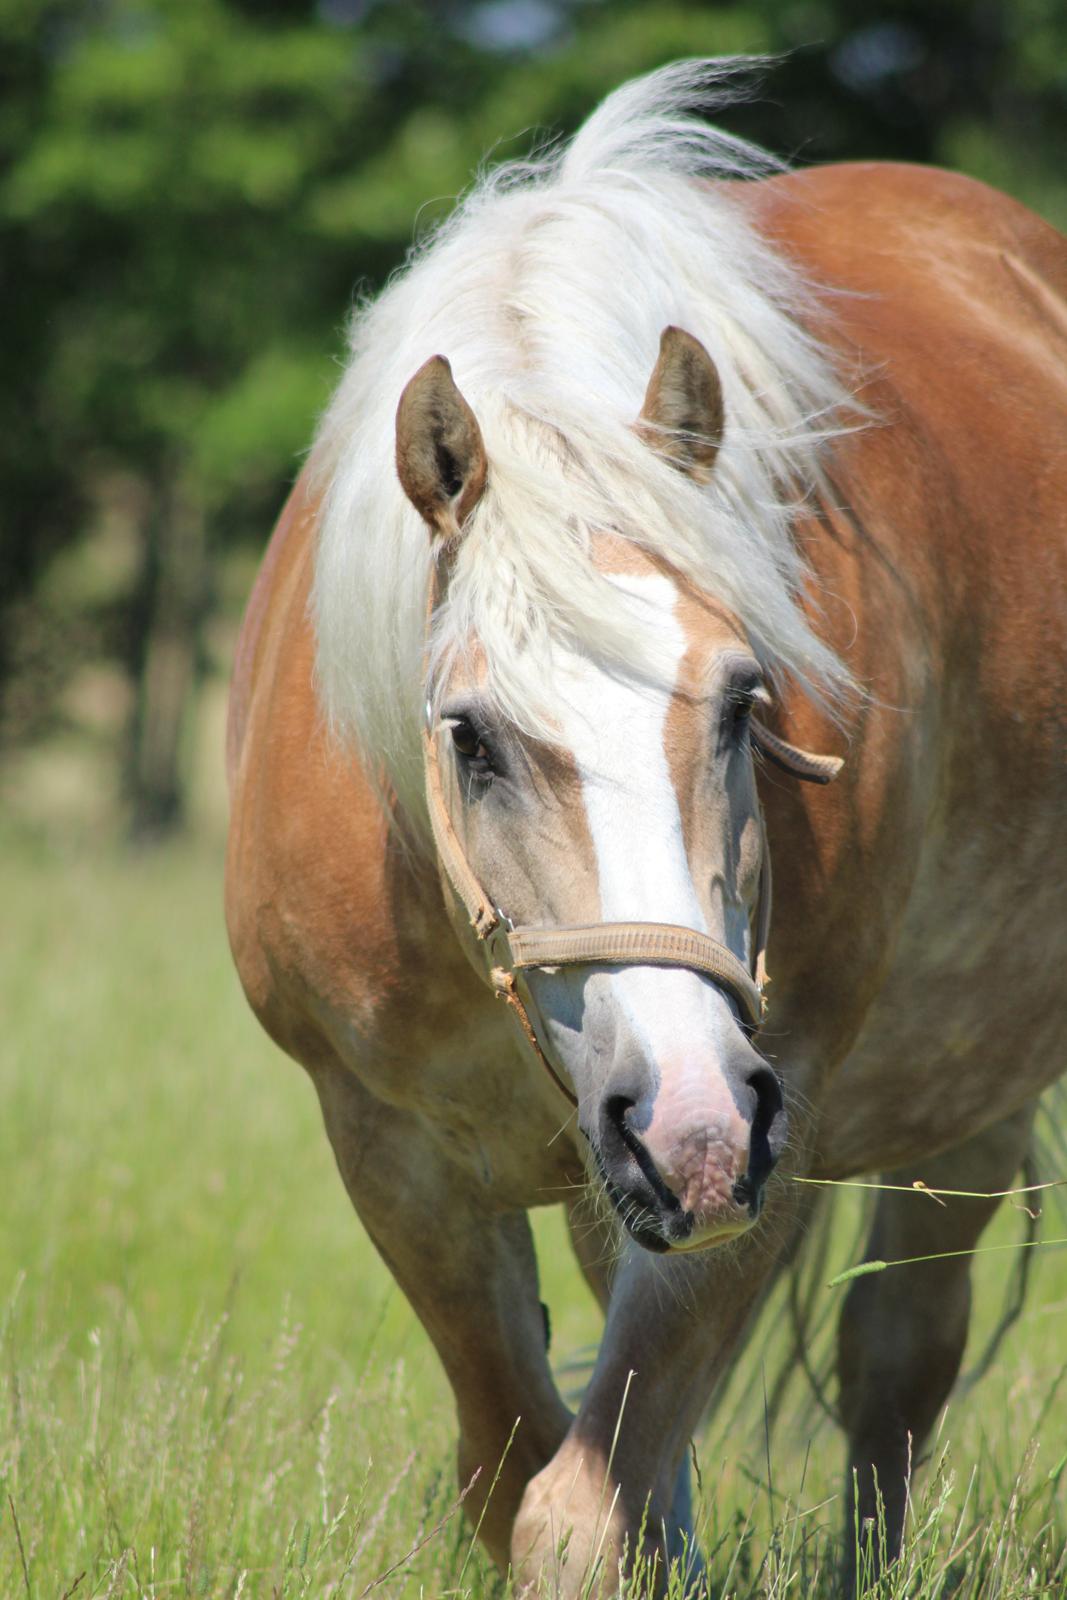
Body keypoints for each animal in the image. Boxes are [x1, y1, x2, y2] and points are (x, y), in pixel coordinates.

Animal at [225, 62, 1067, 1600]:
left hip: (956, 1097)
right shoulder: (391, 1151)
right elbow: (515, 1470)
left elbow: (577, 1513)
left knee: (894, 1367)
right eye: (470, 736)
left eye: (742, 701)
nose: (685, 1117)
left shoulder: (772, 1121)